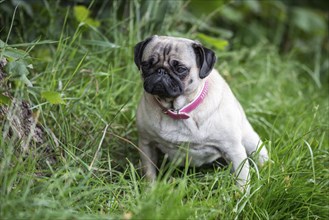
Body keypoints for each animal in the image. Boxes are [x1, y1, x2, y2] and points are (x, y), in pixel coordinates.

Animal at [133, 35, 266, 186]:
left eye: (180, 69)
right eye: (146, 65)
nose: (161, 71)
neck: (178, 110)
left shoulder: (234, 149)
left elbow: (242, 179)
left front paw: (240, 192)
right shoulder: (146, 143)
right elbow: (149, 173)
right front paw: (150, 189)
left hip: (252, 143)